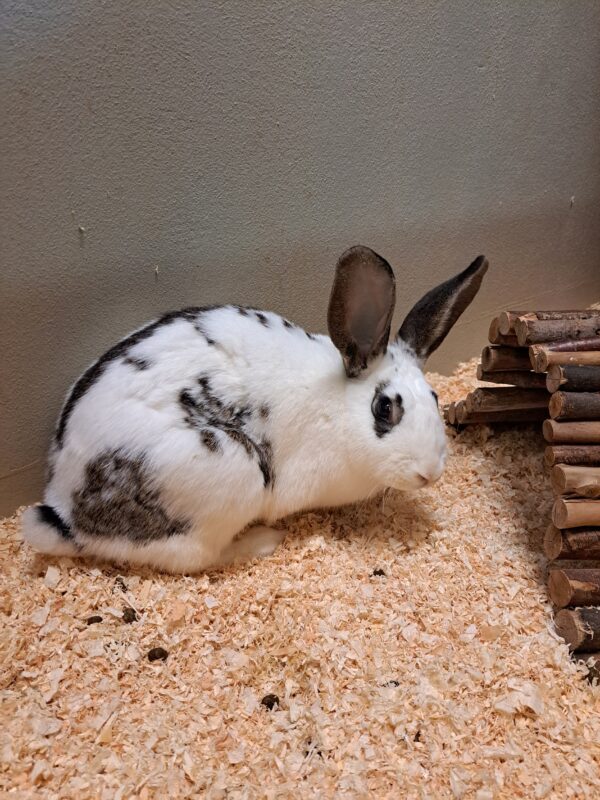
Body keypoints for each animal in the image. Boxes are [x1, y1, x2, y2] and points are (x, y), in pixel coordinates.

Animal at [22, 246, 488, 573]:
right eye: (385, 408)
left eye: (435, 398)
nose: (431, 473)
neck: (336, 407)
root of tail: (66, 515)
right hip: (232, 474)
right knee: (193, 557)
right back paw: (262, 540)